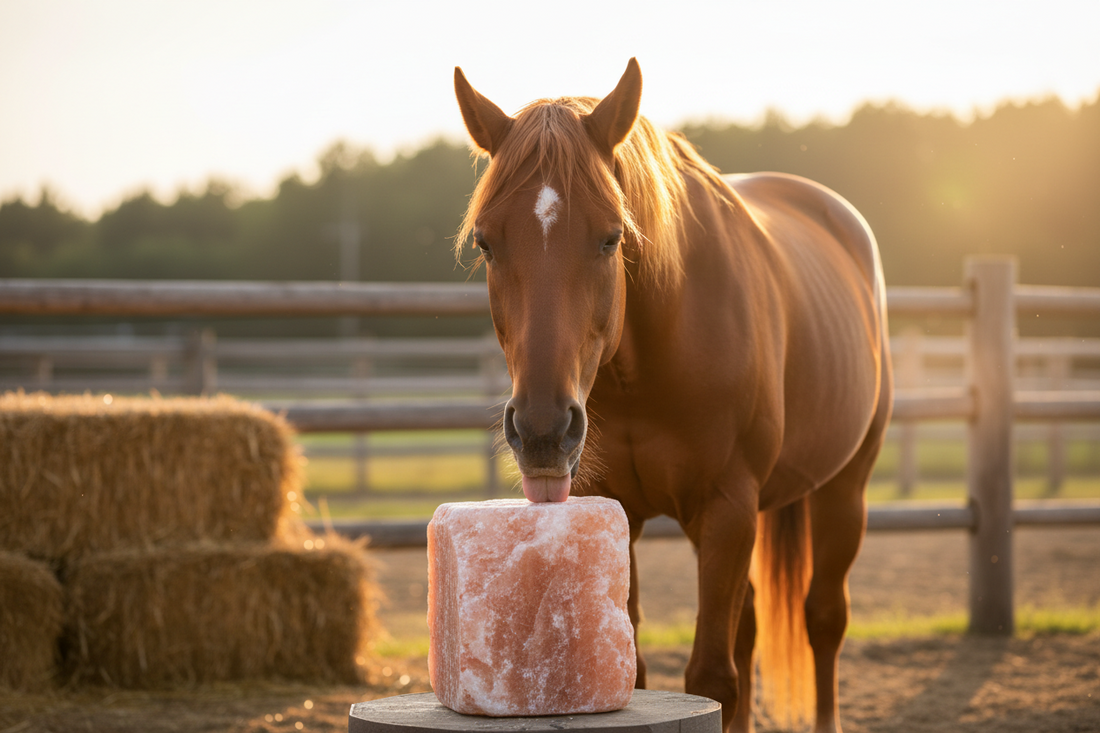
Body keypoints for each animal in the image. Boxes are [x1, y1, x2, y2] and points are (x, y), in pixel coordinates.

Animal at [453, 58, 892, 733]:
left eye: (611, 238)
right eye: (486, 243)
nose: (542, 431)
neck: (647, 369)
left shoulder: (728, 504)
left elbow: (712, 676)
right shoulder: (617, 510)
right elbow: (644, 666)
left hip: (842, 489)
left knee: (823, 619)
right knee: (751, 623)